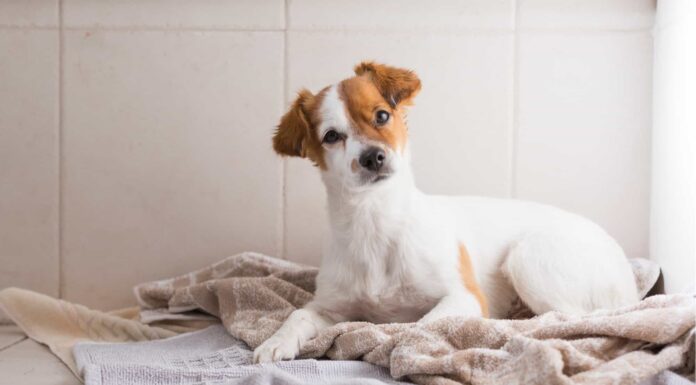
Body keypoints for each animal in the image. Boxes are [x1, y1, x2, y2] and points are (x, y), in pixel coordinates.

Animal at [253, 61, 640, 362]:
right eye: (332, 136)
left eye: (382, 115)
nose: (373, 157)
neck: (375, 222)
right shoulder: (328, 306)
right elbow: (298, 315)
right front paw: (276, 341)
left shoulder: (464, 296)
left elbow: (423, 324)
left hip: (527, 258)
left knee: (569, 319)